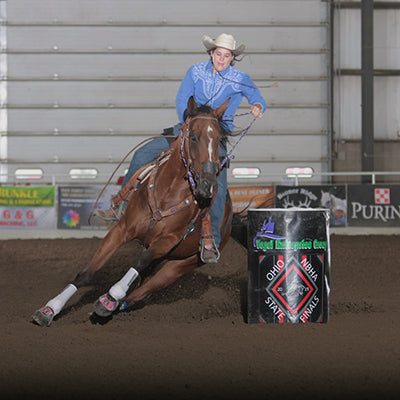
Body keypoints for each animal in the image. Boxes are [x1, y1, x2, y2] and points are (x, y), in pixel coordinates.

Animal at [34, 97, 236, 328]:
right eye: (193, 137)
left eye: (219, 139)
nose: (207, 186)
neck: (168, 193)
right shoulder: (121, 230)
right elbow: (87, 273)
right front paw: (50, 309)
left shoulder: (168, 240)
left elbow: (139, 261)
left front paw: (112, 295)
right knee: (142, 287)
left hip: (181, 265)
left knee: (144, 290)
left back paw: (108, 304)